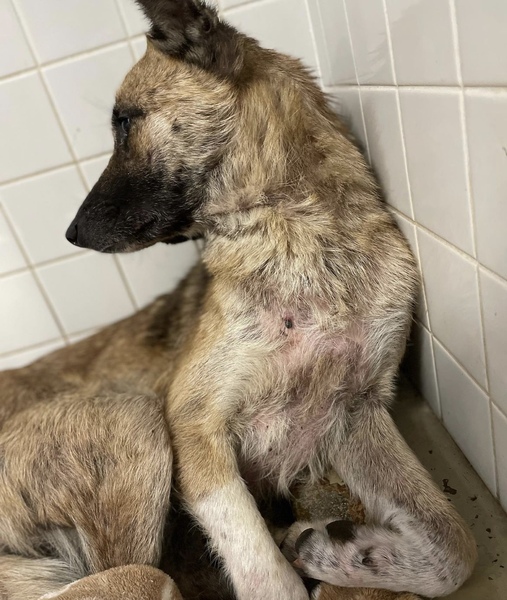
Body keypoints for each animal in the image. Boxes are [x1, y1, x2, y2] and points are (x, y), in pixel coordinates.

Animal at [0, 1, 476, 599]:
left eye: (125, 122)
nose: (71, 234)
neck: (300, 240)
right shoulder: (193, 423)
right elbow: (262, 567)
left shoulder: (355, 409)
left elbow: (454, 548)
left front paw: (343, 554)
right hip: (134, 416)